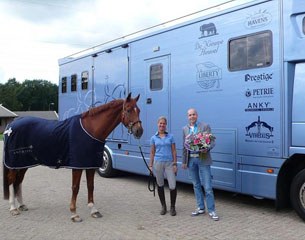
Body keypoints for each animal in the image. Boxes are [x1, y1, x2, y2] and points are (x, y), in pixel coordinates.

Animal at [2, 93, 143, 222]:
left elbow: (90, 186)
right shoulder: (77, 166)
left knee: (18, 181)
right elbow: (75, 187)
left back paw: (21, 205)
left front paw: (94, 210)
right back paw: (13, 208)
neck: (91, 129)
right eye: (128, 110)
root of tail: (11, 126)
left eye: (139, 110)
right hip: (14, 164)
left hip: (23, 163)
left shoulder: (90, 165)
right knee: (11, 181)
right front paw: (74, 213)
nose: (139, 131)